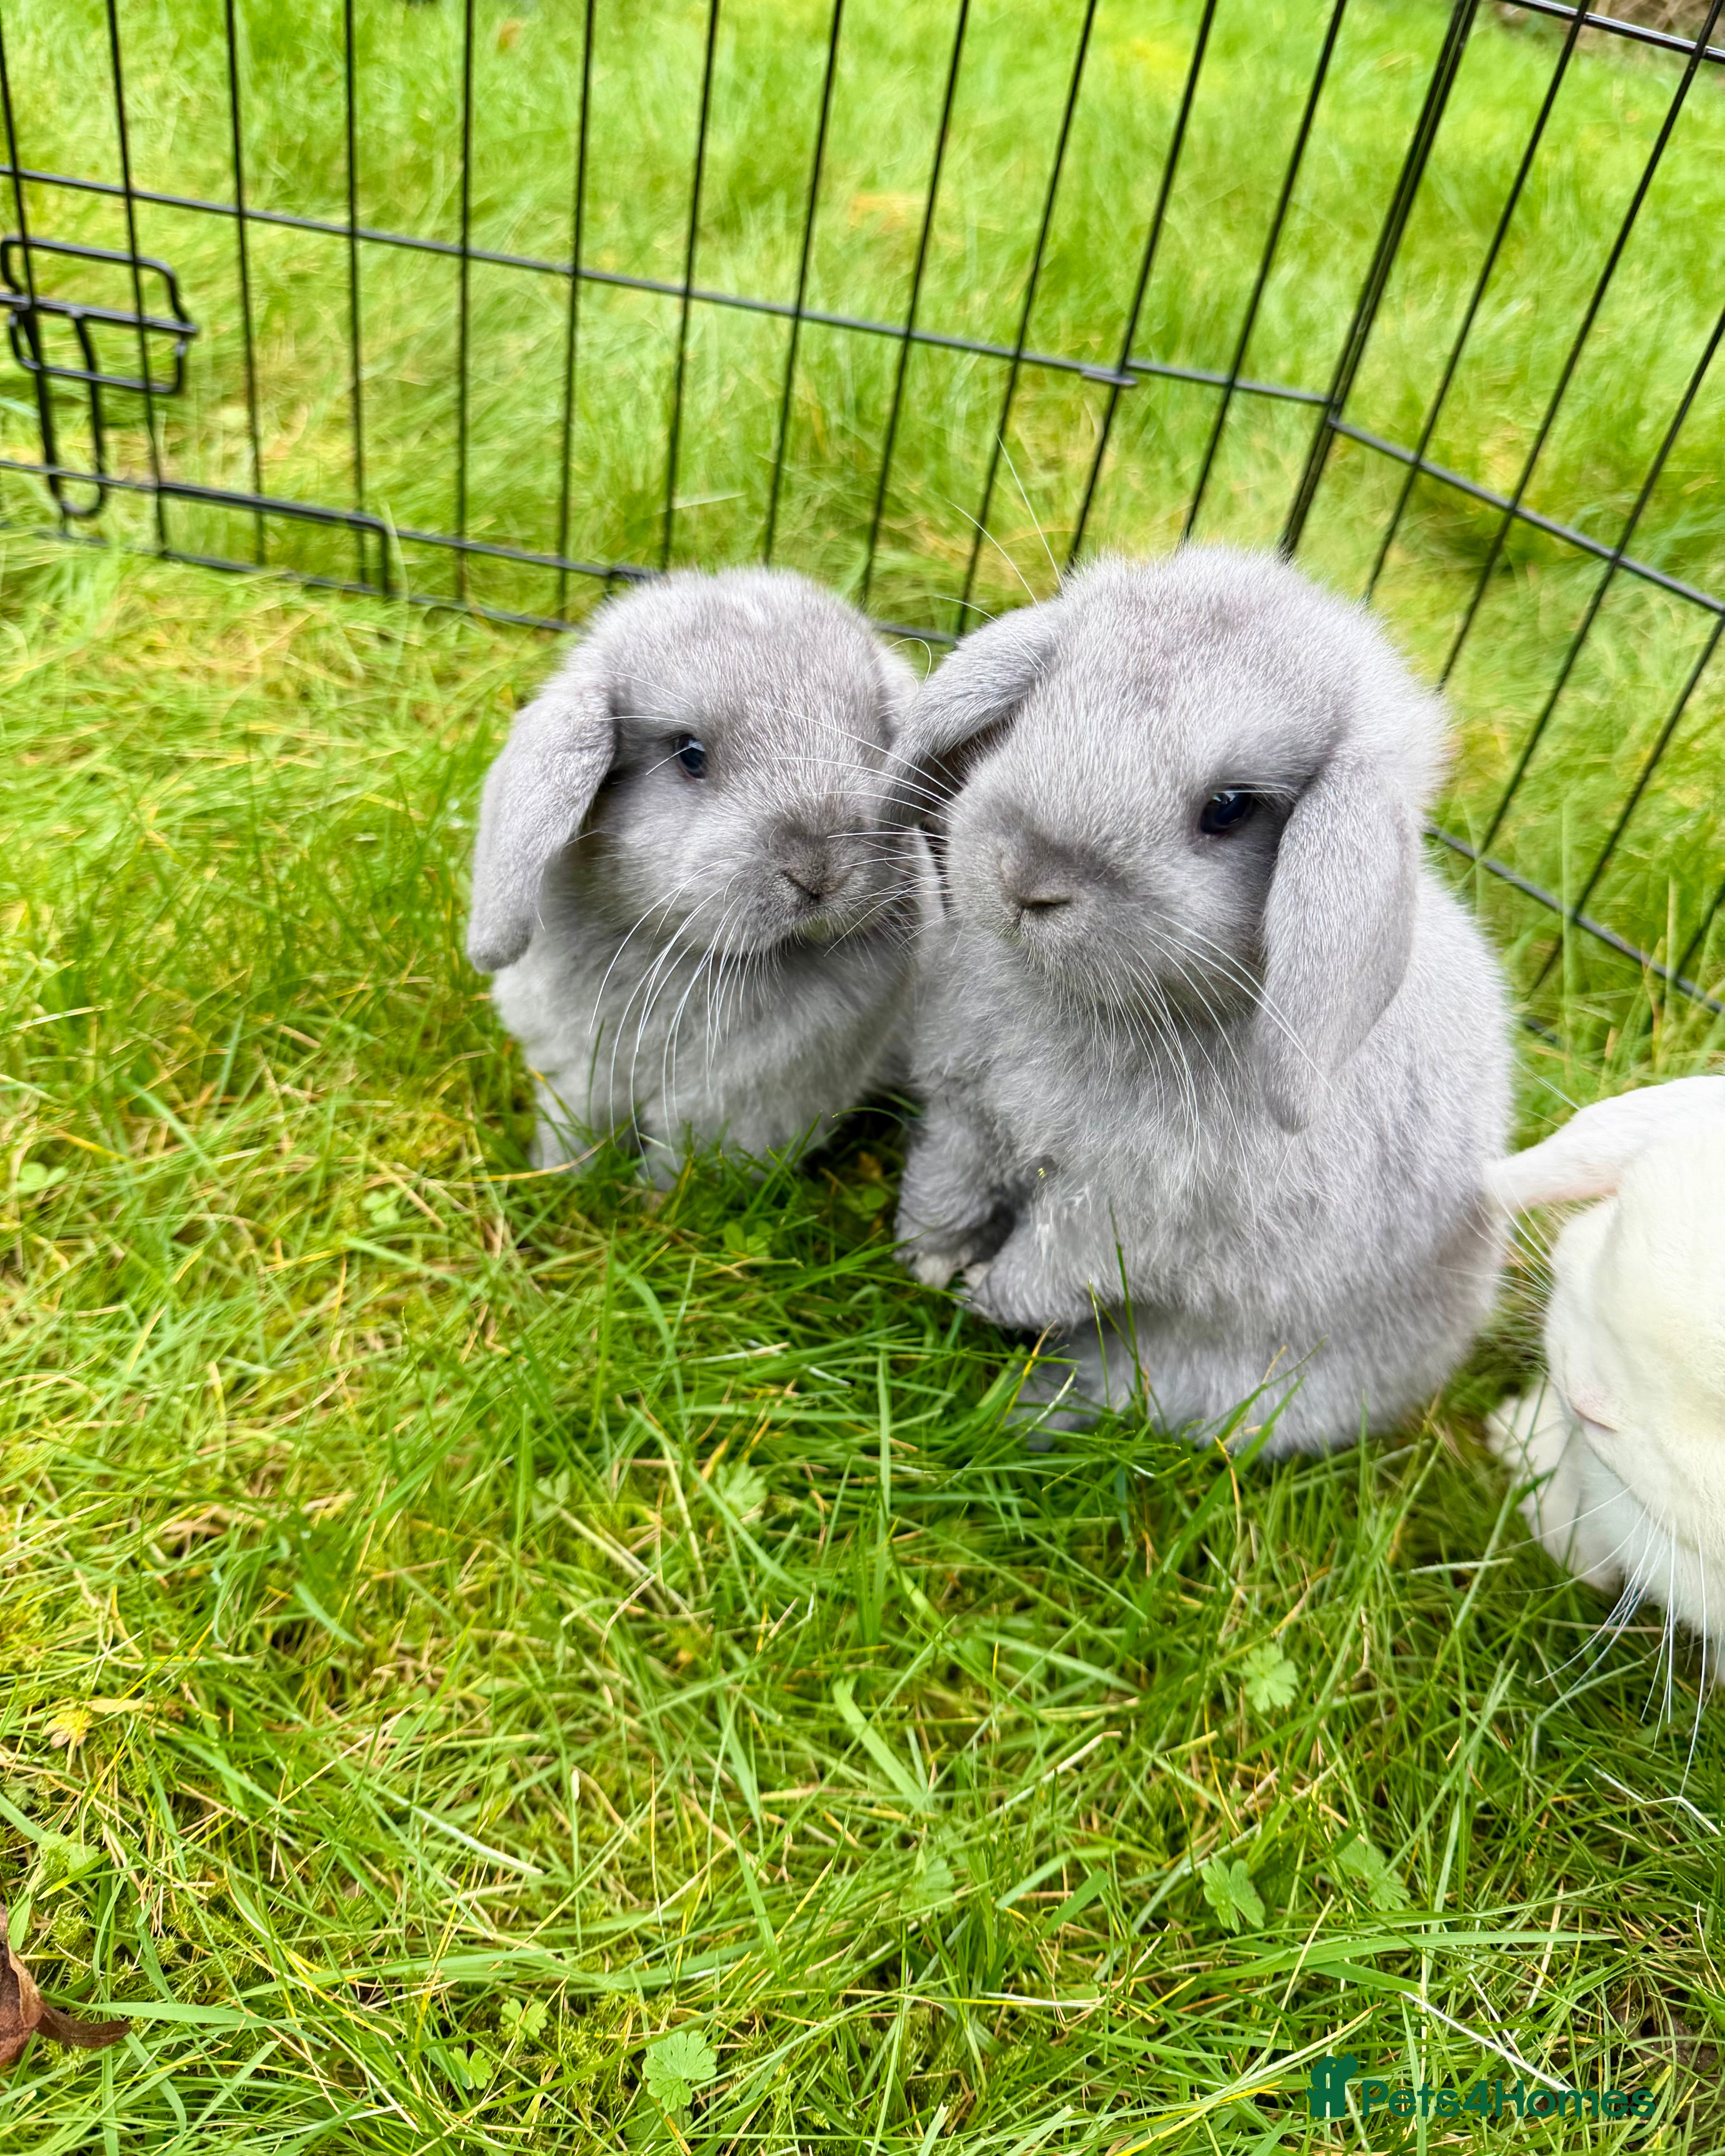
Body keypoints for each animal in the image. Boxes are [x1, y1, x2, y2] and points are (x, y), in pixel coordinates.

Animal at [467, 567, 931, 1181]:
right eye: (689, 754)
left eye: (875, 748)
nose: (819, 871)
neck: (682, 957)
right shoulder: (579, 1075)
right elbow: (575, 1130)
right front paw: (554, 1174)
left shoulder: (734, 1114)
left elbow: (681, 1168)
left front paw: (650, 1200)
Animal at [890, 545, 1513, 1456]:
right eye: (1041, 705)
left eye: (1229, 808)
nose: (1027, 877)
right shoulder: (967, 1113)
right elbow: (945, 1182)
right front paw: (926, 1258)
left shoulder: (1128, 1213)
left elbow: (1051, 1266)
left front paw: (983, 1295)